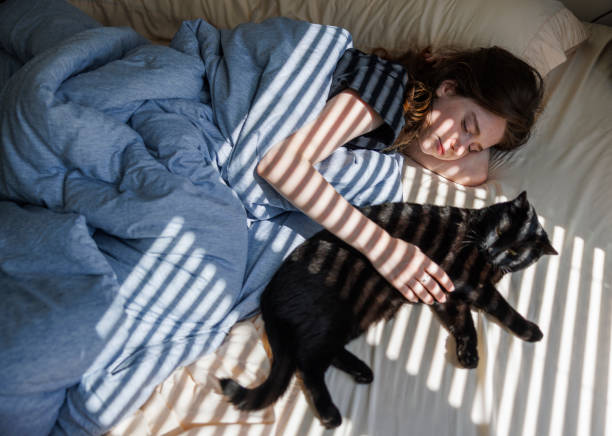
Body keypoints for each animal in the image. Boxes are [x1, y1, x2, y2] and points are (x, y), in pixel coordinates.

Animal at [219, 192, 556, 428]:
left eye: (514, 251)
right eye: (500, 231)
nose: (492, 251)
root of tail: (268, 294)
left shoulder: (448, 295)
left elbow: (464, 322)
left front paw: (468, 354)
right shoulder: (466, 283)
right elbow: (498, 307)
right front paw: (530, 330)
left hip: (356, 316)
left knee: (319, 354)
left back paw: (362, 371)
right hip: (335, 315)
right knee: (308, 363)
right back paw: (331, 414)